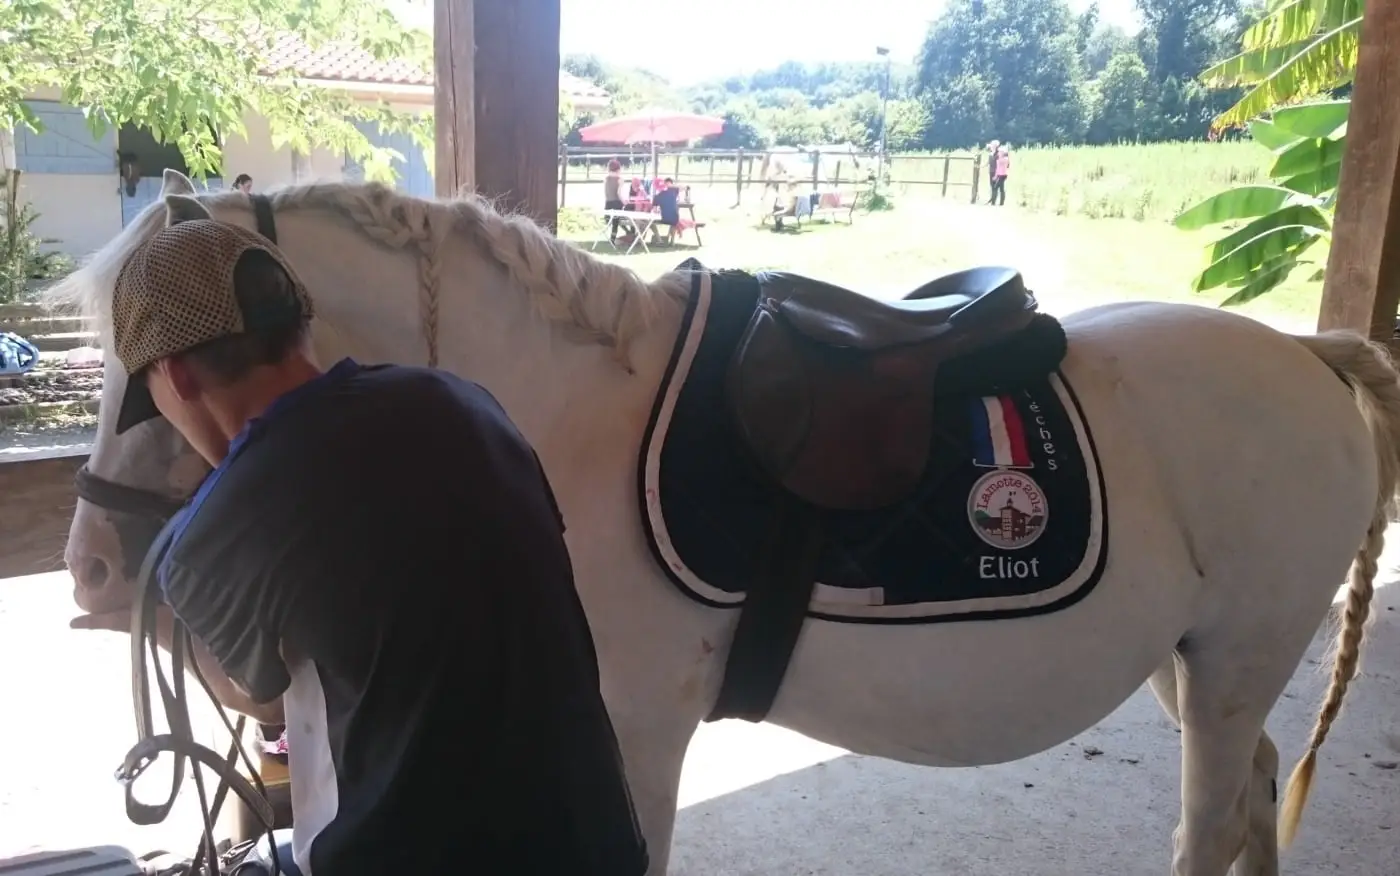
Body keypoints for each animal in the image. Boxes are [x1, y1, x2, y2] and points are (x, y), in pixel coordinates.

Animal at [48, 168, 1399, 876]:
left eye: (150, 378)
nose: (97, 573)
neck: (571, 417)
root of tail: (1309, 354)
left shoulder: (633, 732)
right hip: (1192, 664)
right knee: (1251, 794)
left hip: (1230, 662)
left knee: (1207, 819)